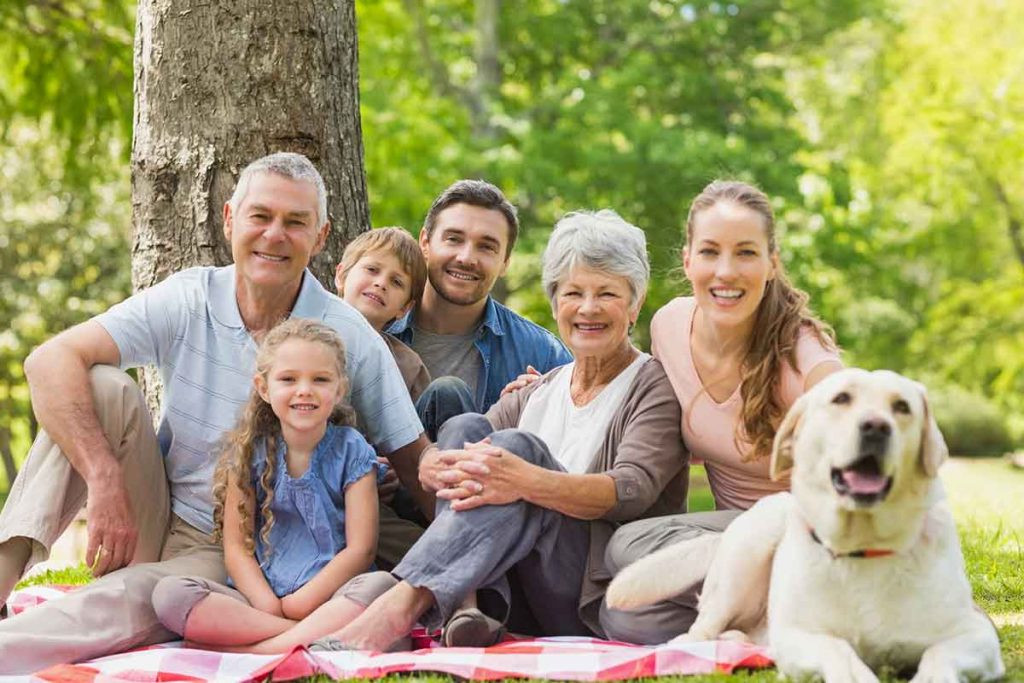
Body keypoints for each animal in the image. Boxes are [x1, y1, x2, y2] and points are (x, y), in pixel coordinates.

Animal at [606, 370, 999, 679]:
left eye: (902, 407)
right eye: (841, 399)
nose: (875, 426)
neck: (864, 546)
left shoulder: (977, 634)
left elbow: (938, 658)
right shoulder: (800, 636)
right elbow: (840, 653)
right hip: (746, 555)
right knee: (700, 631)